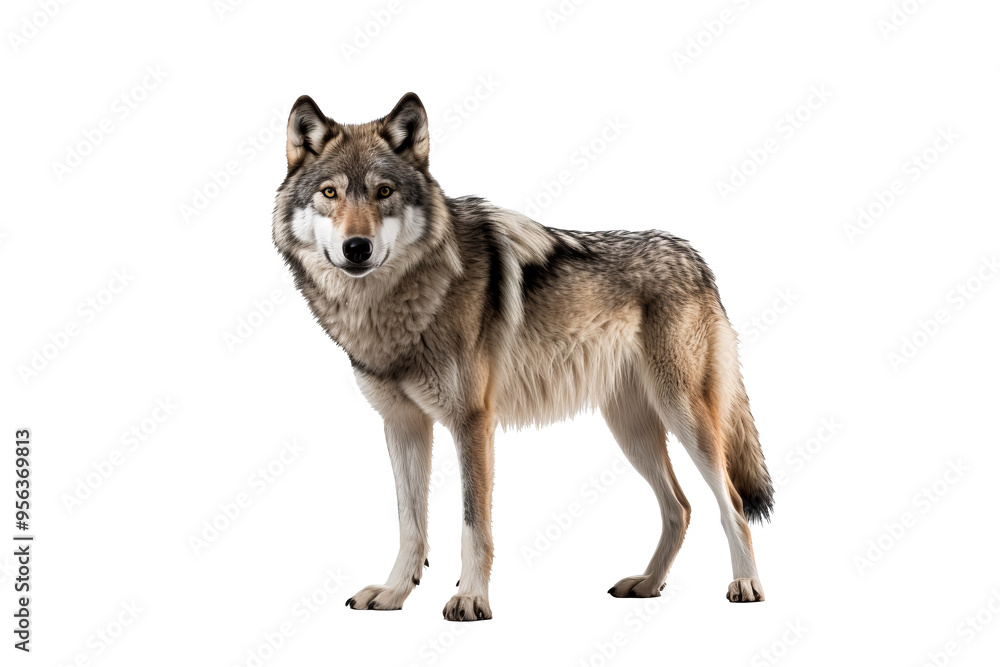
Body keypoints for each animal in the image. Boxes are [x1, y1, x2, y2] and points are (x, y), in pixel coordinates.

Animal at [272, 93, 773, 621]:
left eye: (383, 191)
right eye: (330, 193)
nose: (357, 248)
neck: (394, 308)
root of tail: (696, 258)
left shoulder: (472, 422)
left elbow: (474, 525)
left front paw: (471, 598)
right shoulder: (402, 424)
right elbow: (411, 523)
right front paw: (393, 594)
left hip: (685, 416)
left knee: (731, 503)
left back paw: (746, 584)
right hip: (630, 428)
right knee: (680, 506)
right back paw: (648, 584)